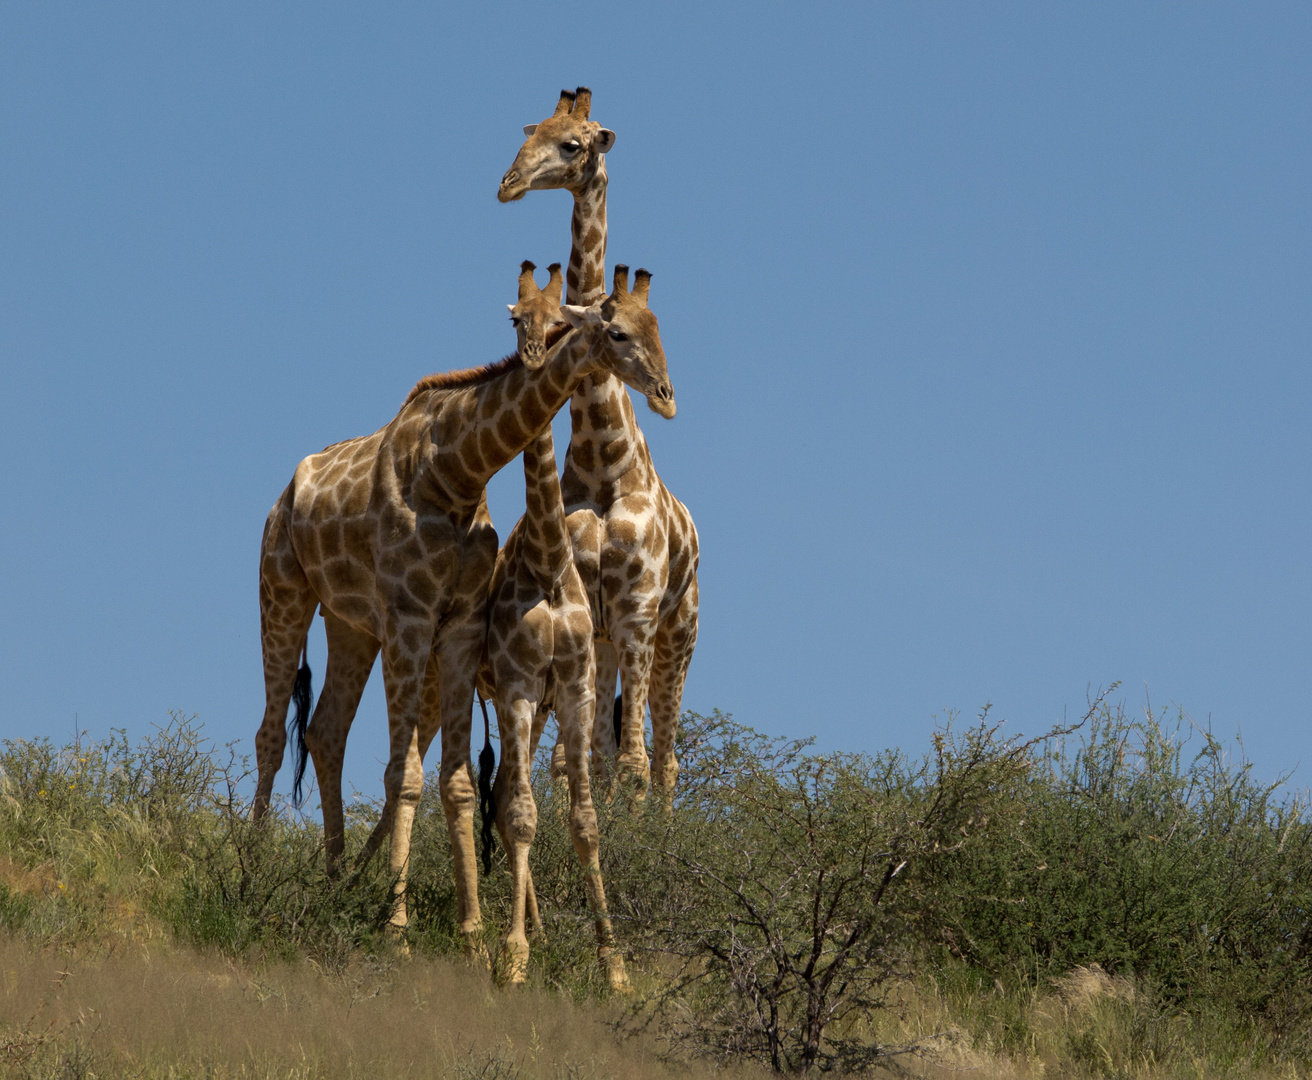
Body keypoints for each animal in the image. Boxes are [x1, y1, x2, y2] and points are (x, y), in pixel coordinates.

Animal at [251, 267, 676, 944]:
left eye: (658, 328)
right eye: (617, 331)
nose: (665, 394)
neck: (456, 469)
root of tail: (287, 492)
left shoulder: (457, 626)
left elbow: (455, 783)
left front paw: (473, 931)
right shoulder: (410, 618)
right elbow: (404, 775)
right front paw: (398, 928)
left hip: (350, 624)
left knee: (324, 732)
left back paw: (333, 880)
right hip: (282, 589)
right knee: (270, 733)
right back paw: (252, 875)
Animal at [498, 86, 703, 792]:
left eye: (573, 144)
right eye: (529, 131)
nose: (507, 184)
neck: (603, 457)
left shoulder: (640, 609)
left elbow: (636, 763)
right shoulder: (592, 609)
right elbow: (574, 758)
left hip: (678, 633)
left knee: (662, 758)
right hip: (612, 639)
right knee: (609, 748)